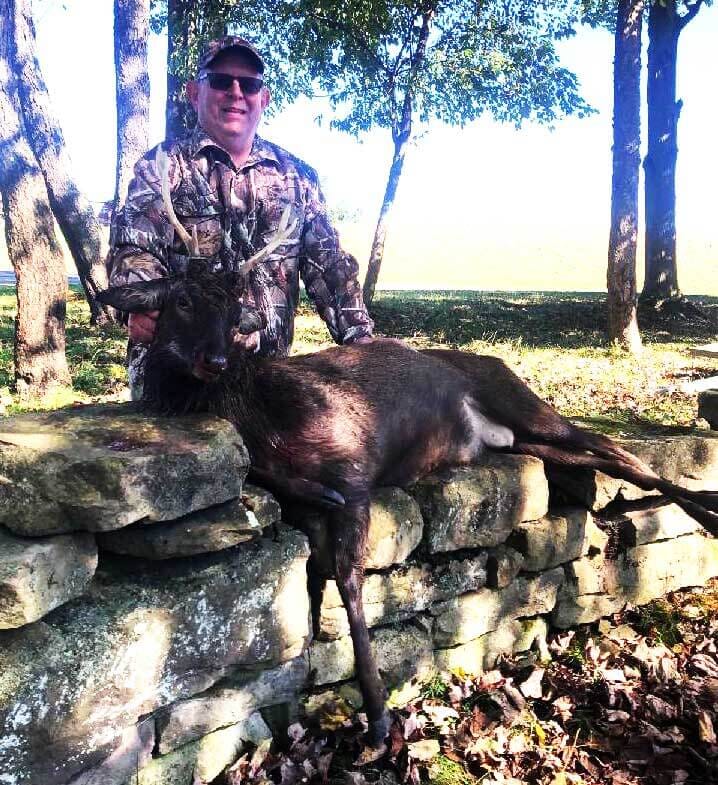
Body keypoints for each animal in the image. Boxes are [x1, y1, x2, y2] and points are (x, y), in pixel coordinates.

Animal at [100, 147, 718, 752]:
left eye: (234, 312)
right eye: (181, 300)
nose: (215, 359)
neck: (260, 417)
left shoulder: (352, 465)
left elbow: (349, 579)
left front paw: (377, 717)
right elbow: (307, 532)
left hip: (523, 401)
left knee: (619, 449)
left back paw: (706, 510)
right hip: (522, 438)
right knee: (612, 458)